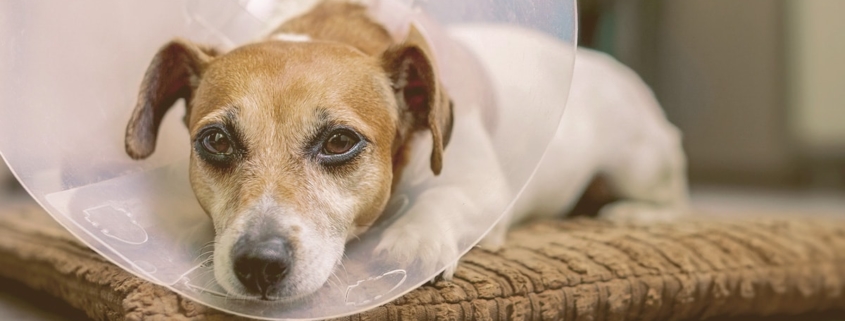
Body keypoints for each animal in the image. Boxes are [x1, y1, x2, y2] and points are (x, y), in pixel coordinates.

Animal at [122, 0, 684, 300]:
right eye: (215, 141)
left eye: (340, 141)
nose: (259, 264)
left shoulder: (483, 189)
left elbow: (444, 198)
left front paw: (415, 238)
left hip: (640, 163)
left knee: (672, 195)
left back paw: (634, 213)